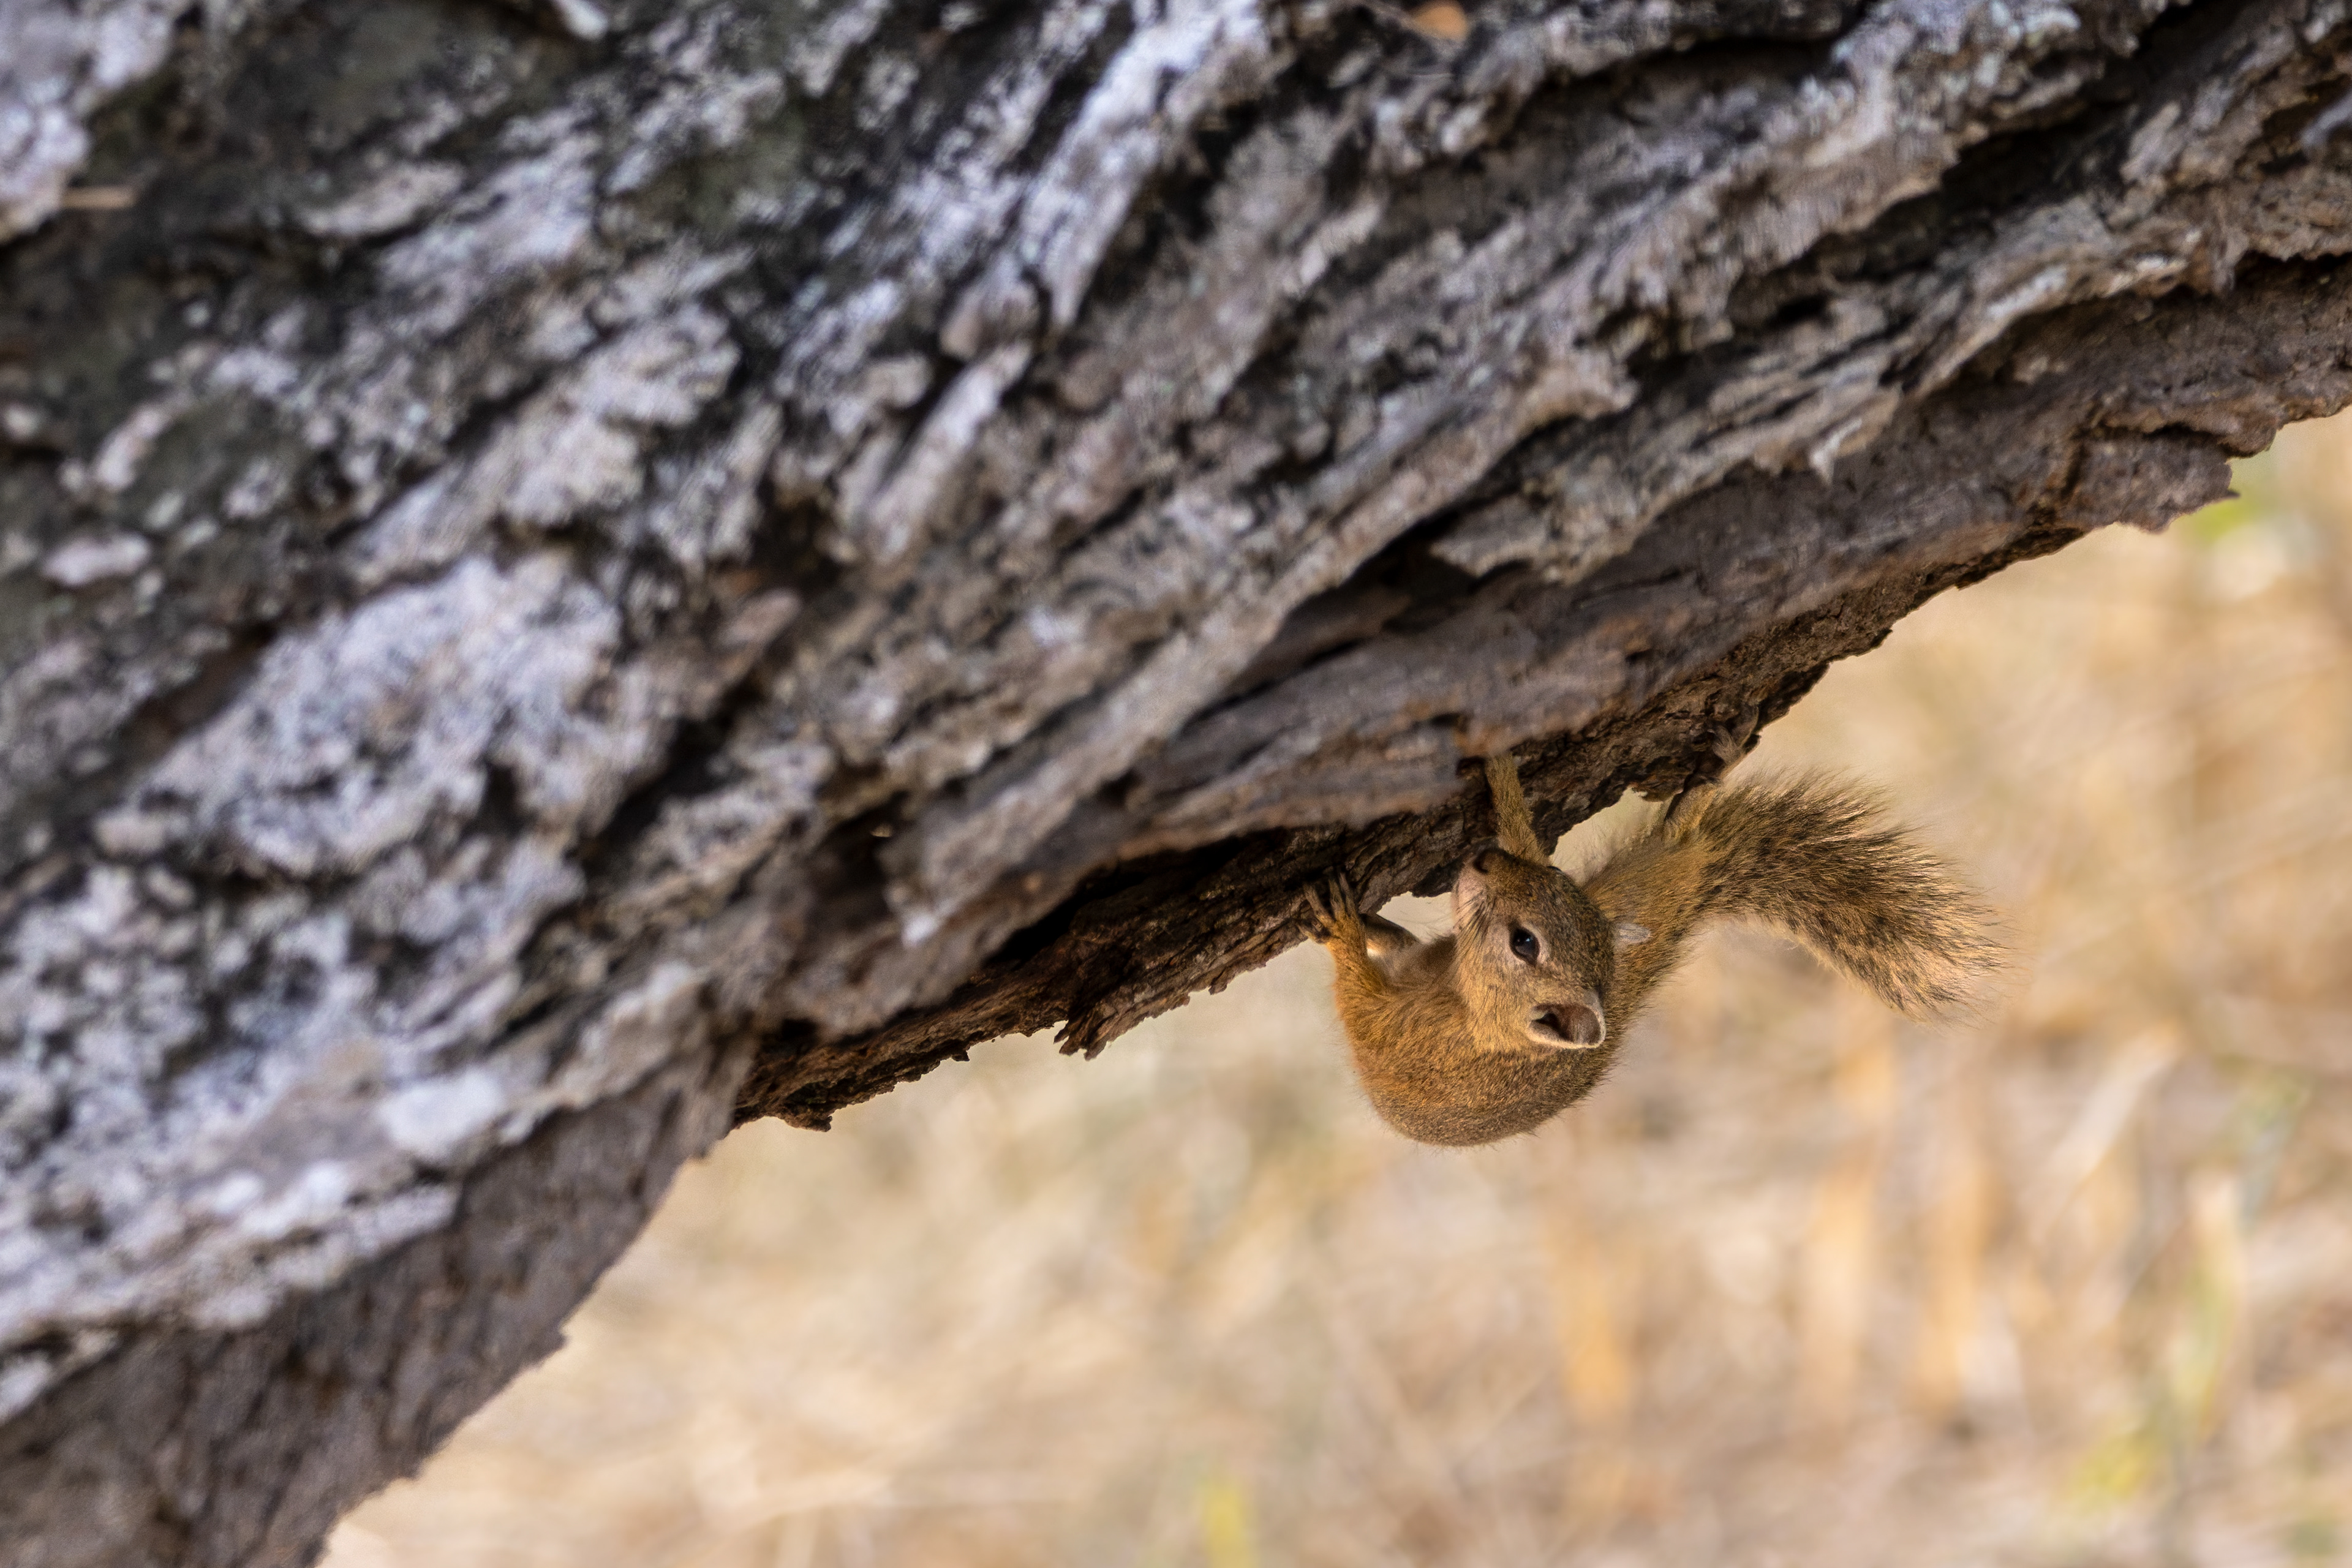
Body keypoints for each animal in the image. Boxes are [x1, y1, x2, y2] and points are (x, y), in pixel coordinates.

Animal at [1301, 725, 2000, 1147]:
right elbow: (1406, 942)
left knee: (1679, 843)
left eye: (1526, 944)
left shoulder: (1413, 1037)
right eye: (1556, 874)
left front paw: (1342, 929)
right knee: (1673, 843)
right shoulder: (1433, 960)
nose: (1482, 861)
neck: (1473, 1000)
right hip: (1632, 888)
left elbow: (1357, 999)